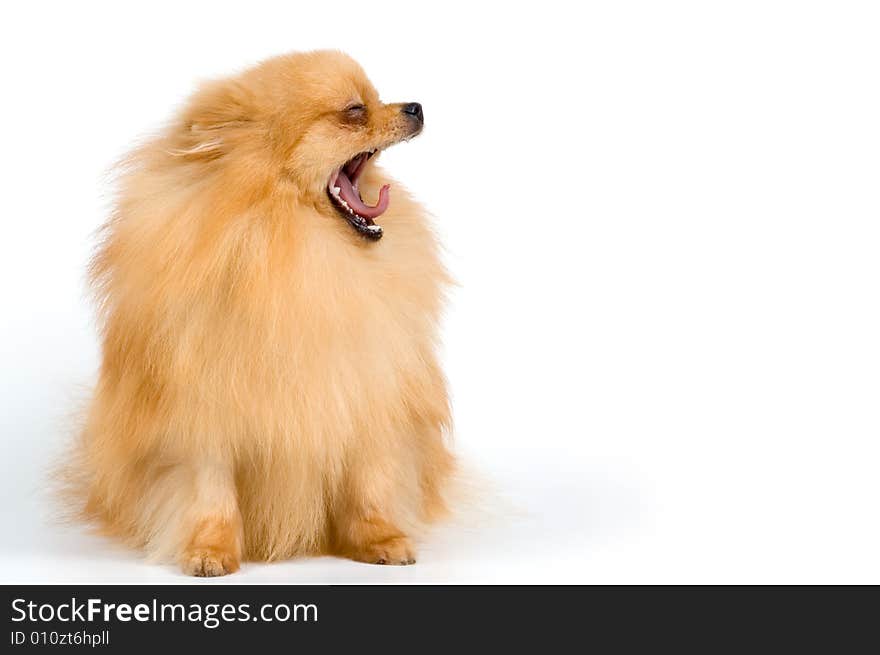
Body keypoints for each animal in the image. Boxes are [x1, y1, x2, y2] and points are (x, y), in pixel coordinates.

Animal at [66, 50, 454, 576]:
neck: (293, 243)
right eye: (355, 111)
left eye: (377, 97)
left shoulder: (366, 391)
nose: (415, 106)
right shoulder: (201, 411)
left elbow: (369, 481)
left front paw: (380, 539)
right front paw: (210, 550)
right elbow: (209, 489)